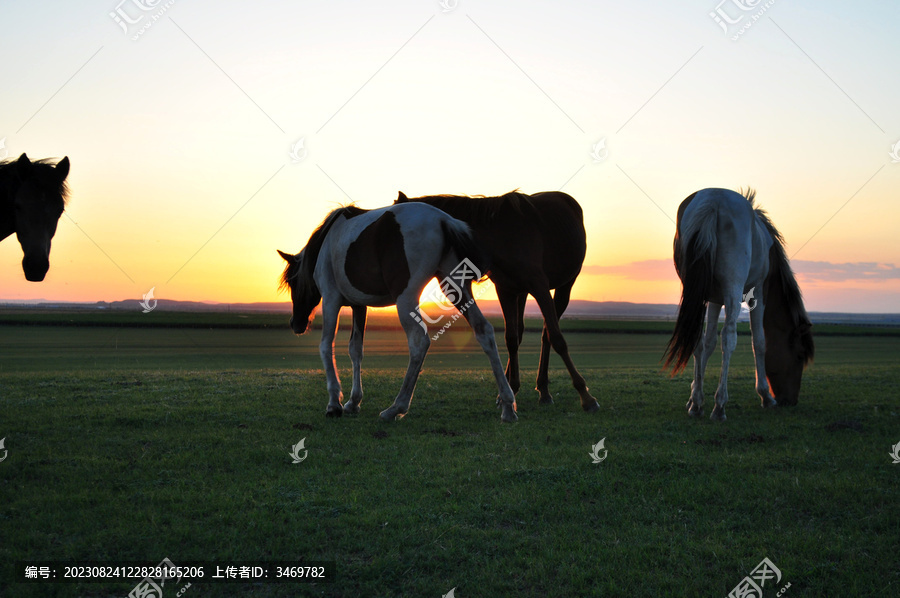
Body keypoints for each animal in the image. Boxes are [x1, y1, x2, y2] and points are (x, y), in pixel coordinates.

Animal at [278, 204, 516, 424]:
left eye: (291, 282)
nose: (295, 323)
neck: (326, 244)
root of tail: (443, 220)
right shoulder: (359, 306)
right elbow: (356, 350)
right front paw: (353, 402)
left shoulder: (331, 299)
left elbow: (326, 345)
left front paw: (334, 403)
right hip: (455, 287)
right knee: (483, 330)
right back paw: (507, 406)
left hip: (406, 299)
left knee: (419, 342)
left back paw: (396, 408)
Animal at [394, 191, 596, 412]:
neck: (501, 234)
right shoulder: (506, 291)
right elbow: (511, 338)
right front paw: (510, 389)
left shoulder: (540, 287)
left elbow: (557, 339)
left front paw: (585, 395)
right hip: (520, 293)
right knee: (522, 332)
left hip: (565, 286)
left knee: (547, 334)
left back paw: (544, 388)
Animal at [660, 189, 816, 422]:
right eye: (799, 356)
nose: (790, 401)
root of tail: (714, 200)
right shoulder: (758, 293)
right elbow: (759, 341)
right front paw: (765, 396)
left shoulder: (714, 298)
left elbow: (708, 343)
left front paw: (694, 398)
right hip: (732, 287)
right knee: (729, 337)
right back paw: (720, 406)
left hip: (697, 292)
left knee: (698, 338)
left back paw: (697, 404)